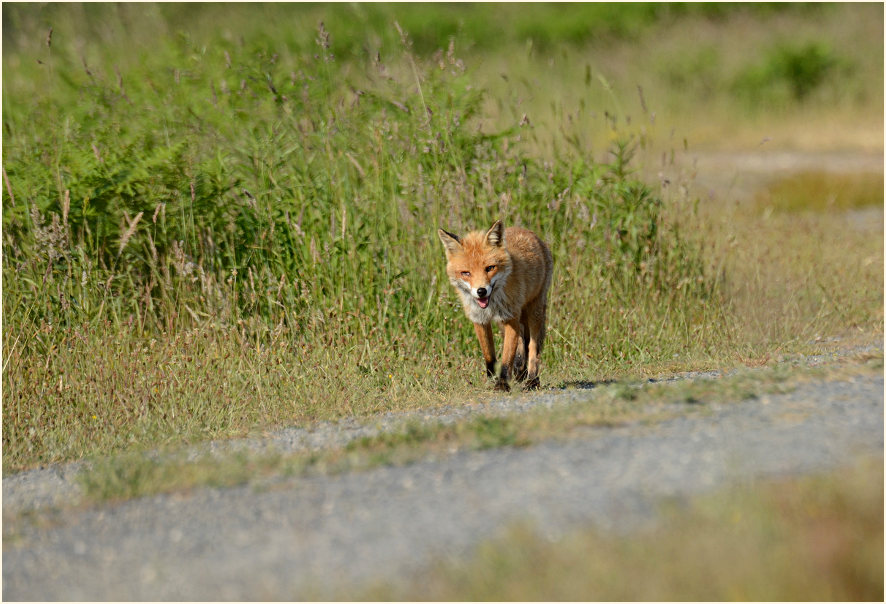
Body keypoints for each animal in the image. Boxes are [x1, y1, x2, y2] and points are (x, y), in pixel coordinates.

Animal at [438, 221, 556, 392]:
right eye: (466, 273)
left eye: (490, 268)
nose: (481, 291)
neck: (492, 303)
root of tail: (525, 230)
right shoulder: (480, 319)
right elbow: (489, 353)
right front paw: (491, 377)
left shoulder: (510, 319)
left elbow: (507, 358)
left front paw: (502, 383)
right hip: (508, 321)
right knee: (522, 344)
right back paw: (520, 372)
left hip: (535, 311)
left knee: (533, 348)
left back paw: (532, 380)